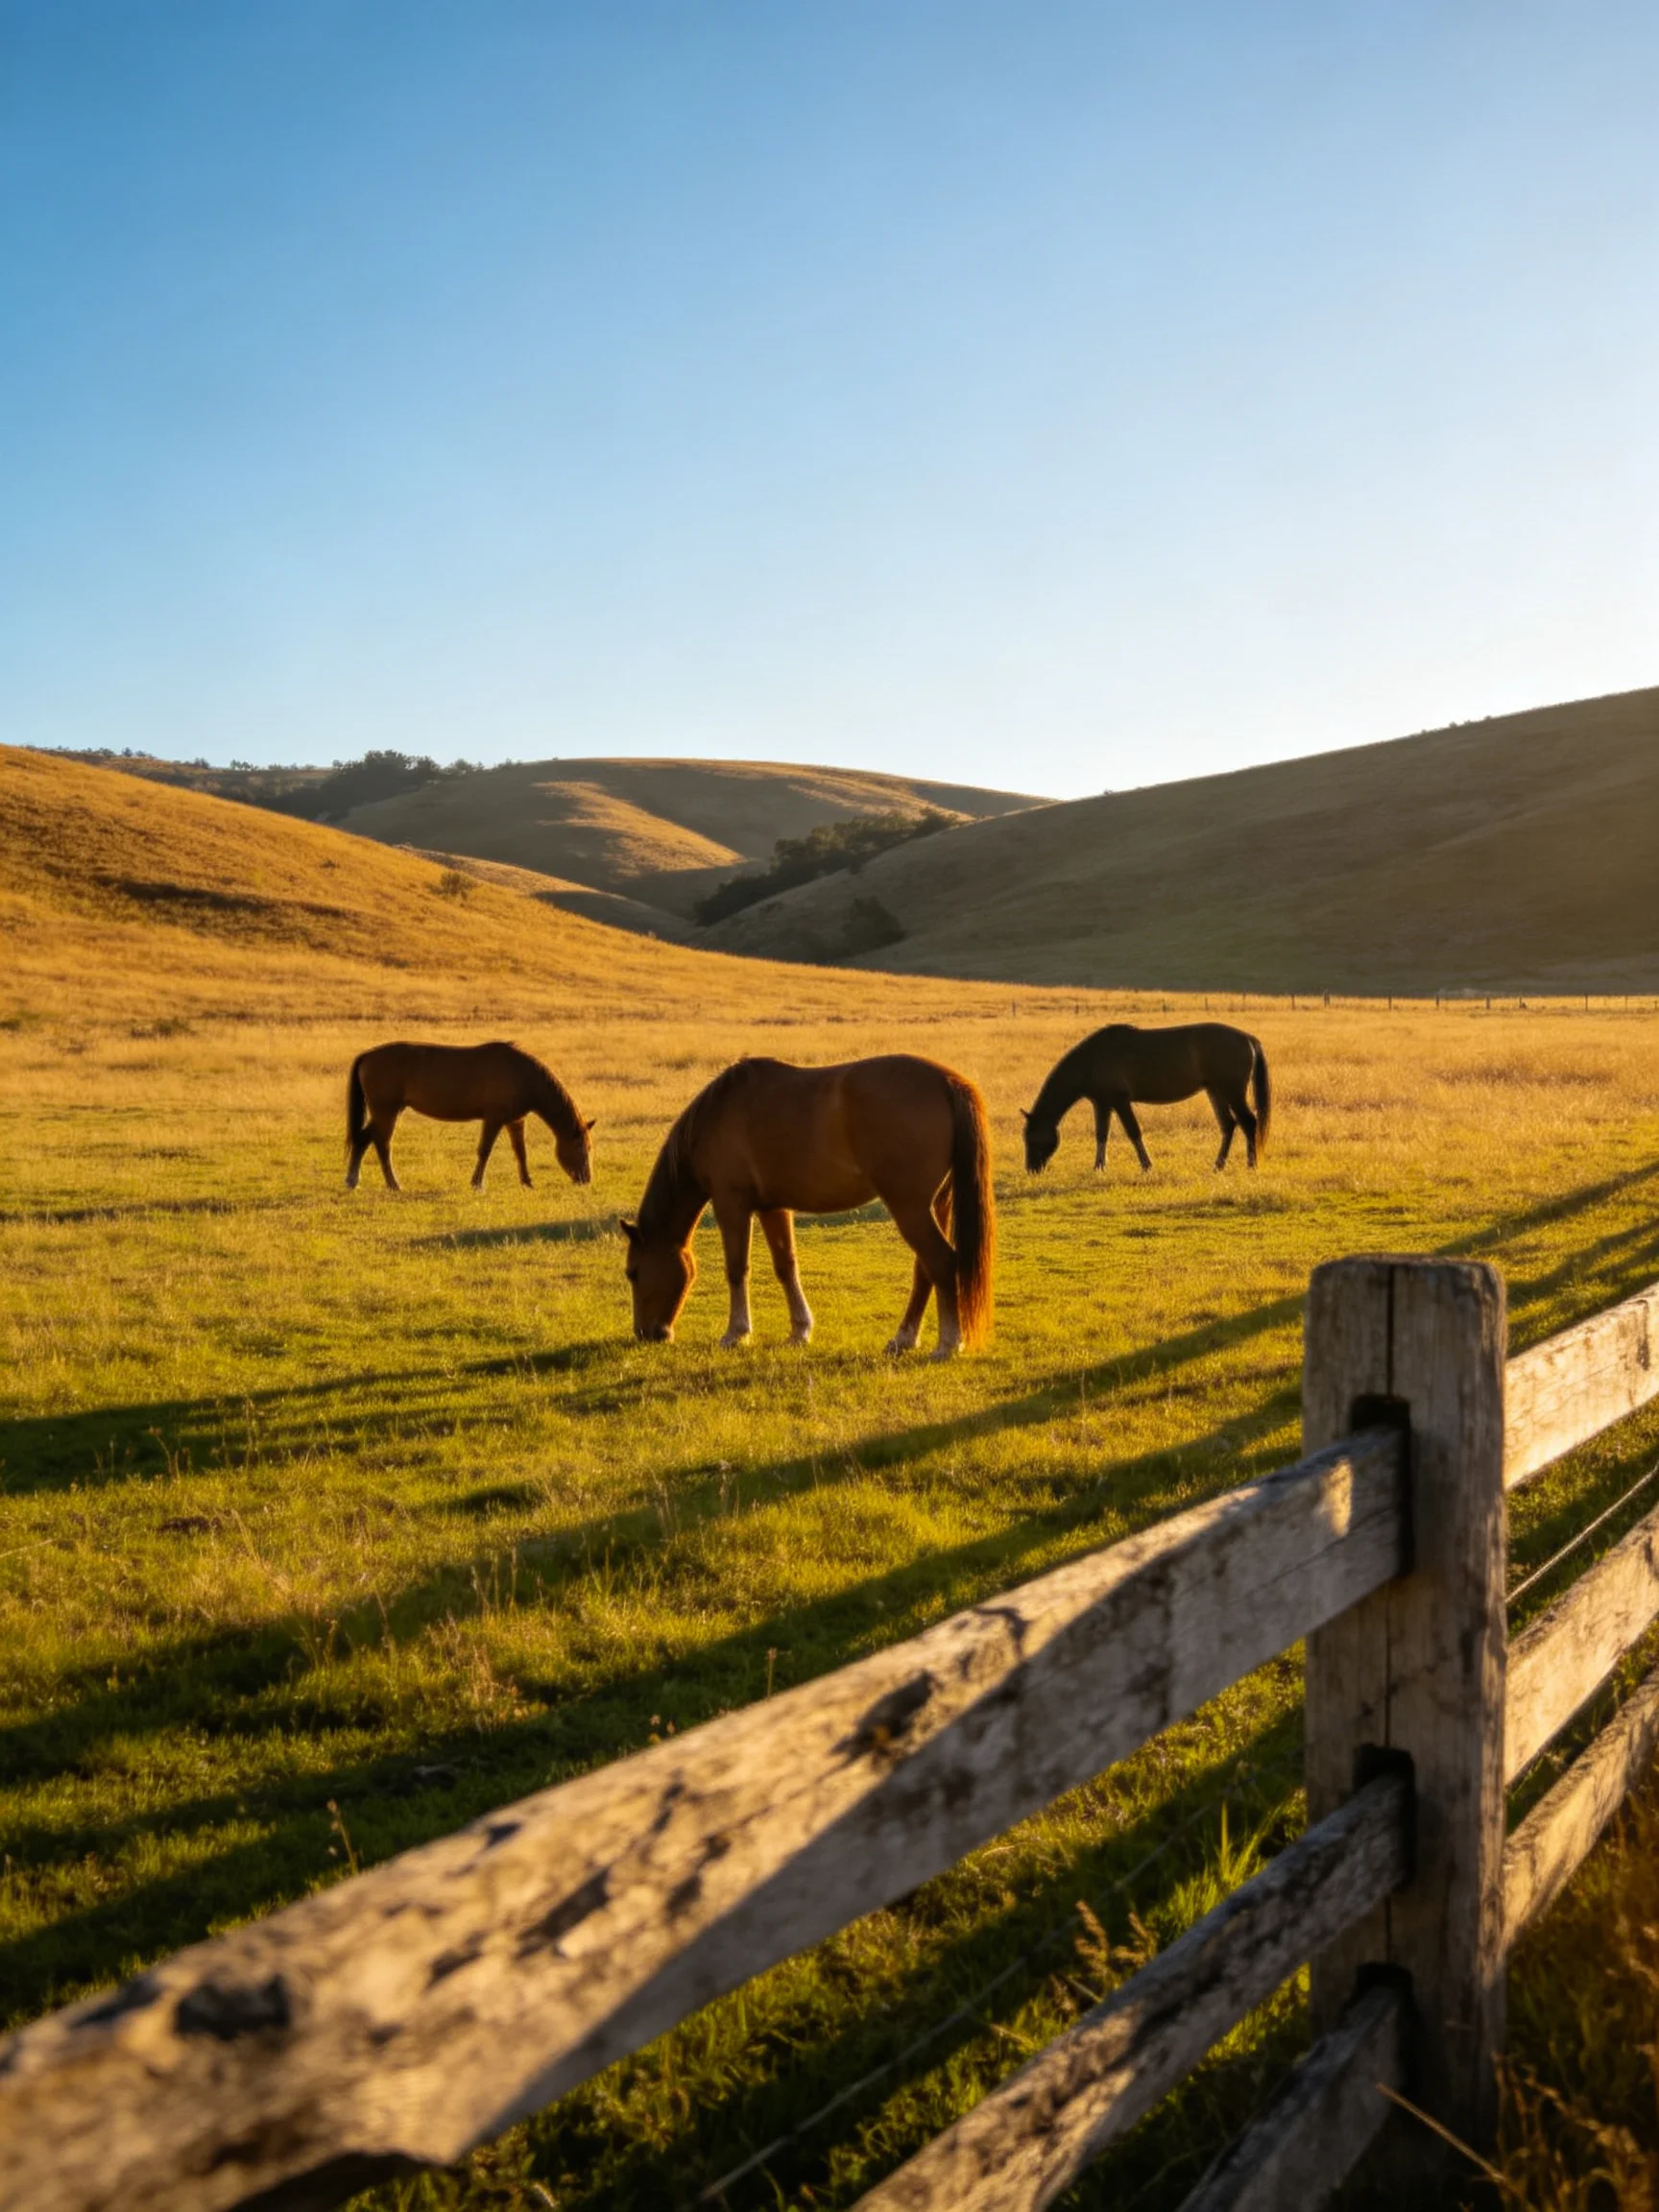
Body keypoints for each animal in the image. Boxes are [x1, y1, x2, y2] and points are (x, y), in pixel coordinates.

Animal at [345, 1041, 595, 1192]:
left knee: (362, 1139)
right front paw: (477, 1184)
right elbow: (484, 1150)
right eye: (581, 1147)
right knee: (382, 1144)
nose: (586, 1179)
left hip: (385, 1112)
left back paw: (352, 1180)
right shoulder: (494, 1118)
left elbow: (520, 1152)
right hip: (386, 1111)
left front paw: (527, 1182)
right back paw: (393, 1184)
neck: (523, 1074)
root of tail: (367, 1056)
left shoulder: (515, 1121)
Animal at [621, 1055, 994, 1355]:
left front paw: (736, 1333)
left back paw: (948, 1343)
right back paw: (904, 1339)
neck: (717, 1116)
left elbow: (737, 1268)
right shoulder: (773, 1207)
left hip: (909, 1208)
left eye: (633, 1272)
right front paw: (800, 1331)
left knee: (942, 1262)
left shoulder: (732, 1204)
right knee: (925, 1269)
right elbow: (786, 1266)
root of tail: (947, 1083)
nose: (646, 1334)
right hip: (935, 1205)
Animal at [1023, 1022, 1271, 1176]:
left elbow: (1134, 1132)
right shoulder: (1102, 1104)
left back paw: (1251, 1165)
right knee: (1228, 1125)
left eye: (1031, 1139)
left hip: (1232, 1091)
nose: (1031, 1169)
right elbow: (1101, 1135)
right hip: (1216, 1091)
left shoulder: (1120, 1102)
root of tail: (1249, 1039)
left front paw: (1146, 1166)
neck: (1091, 1060)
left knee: (1248, 1122)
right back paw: (1218, 1166)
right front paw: (1099, 1167)